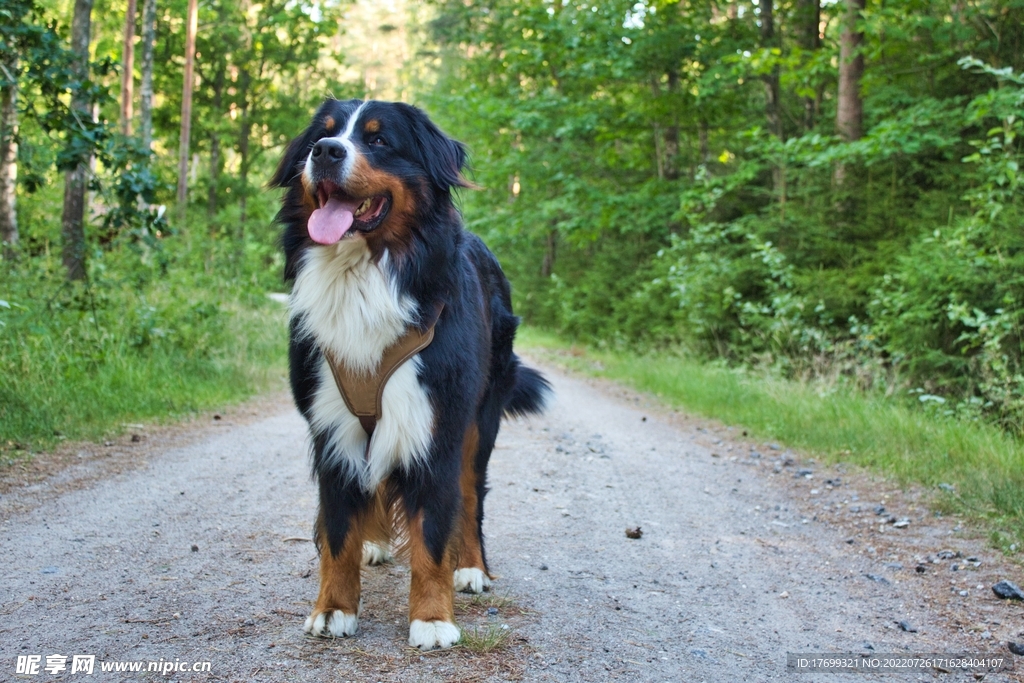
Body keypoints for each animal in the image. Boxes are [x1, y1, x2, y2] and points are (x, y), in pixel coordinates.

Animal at [268, 98, 548, 651]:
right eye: (322, 134)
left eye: (379, 140)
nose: (325, 152)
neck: (365, 275)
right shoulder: (331, 427)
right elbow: (337, 530)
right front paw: (333, 609)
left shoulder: (436, 425)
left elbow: (434, 532)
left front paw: (434, 618)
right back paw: (374, 543)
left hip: (479, 421)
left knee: (470, 497)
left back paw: (471, 568)